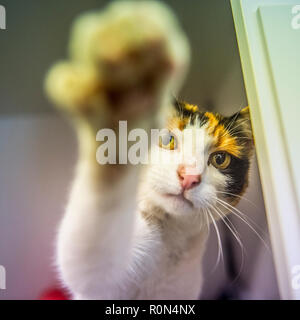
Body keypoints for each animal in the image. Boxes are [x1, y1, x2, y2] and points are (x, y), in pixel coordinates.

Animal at [45, 0, 253, 300]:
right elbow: (91, 251)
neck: (169, 244)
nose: (188, 177)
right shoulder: (101, 276)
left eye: (220, 159)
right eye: (167, 139)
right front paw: (126, 91)